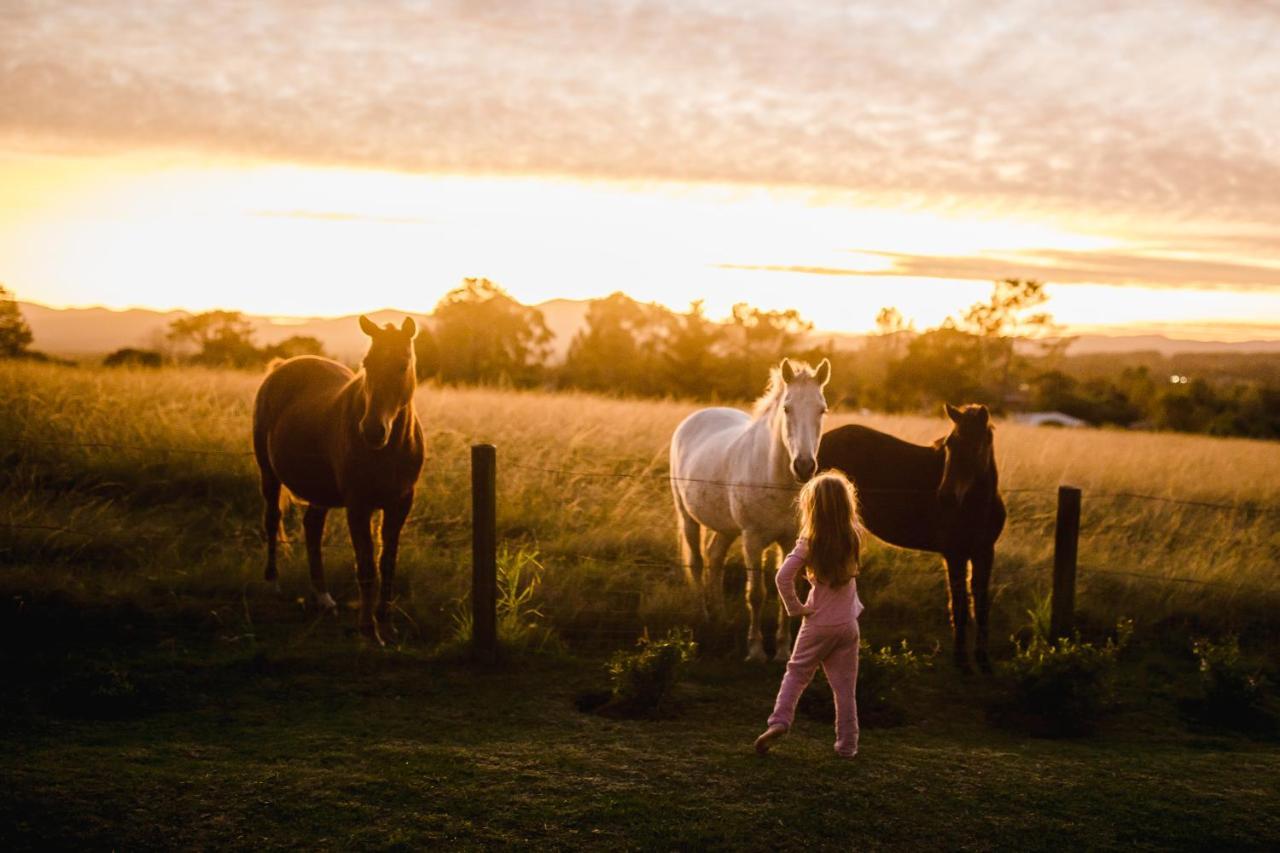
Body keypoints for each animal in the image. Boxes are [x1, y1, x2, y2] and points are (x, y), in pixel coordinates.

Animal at [250, 315, 424, 640]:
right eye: (367, 362)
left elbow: (388, 563)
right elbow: (366, 567)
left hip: (320, 489)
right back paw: (273, 582)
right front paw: (368, 629)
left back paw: (323, 598)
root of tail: (282, 367)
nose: (372, 430)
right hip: (269, 474)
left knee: (312, 528)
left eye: (403, 364)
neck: (390, 450)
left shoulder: (400, 503)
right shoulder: (358, 506)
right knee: (272, 519)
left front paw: (386, 623)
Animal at [670, 356, 829, 660]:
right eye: (787, 408)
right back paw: (703, 615)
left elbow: (785, 591)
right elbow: (756, 594)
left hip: (727, 529)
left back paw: (720, 616)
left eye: (822, 409)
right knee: (696, 562)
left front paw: (782, 650)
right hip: (688, 517)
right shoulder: (753, 540)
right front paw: (755, 651)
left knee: (715, 558)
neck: (772, 475)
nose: (804, 466)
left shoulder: (788, 540)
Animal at [814, 404, 1003, 671]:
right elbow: (960, 607)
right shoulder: (955, 555)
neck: (977, 505)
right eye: (949, 445)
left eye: (975, 446)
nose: (945, 496)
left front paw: (983, 661)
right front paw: (962, 662)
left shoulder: (984, 553)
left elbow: (982, 604)